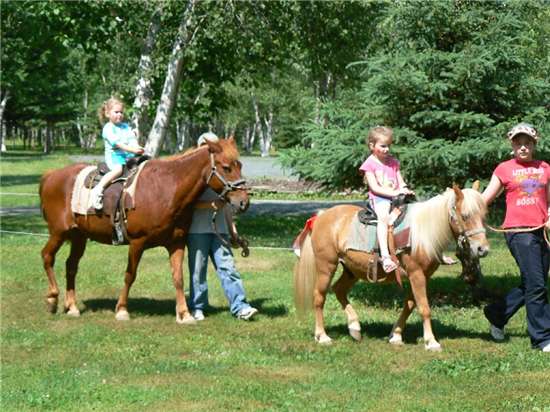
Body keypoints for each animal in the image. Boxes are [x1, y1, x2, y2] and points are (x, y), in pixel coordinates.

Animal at [41, 137, 250, 324]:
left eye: (240, 165)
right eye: (226, 167)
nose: (243, 202)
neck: (165, 189)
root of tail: (50, 175)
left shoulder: (177, 242)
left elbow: (178, 278)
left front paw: (184, 314)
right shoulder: (137, 242)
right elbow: (130, 275)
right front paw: (122, 310)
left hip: (79, 236)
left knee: (71, 266)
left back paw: (72, 306)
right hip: (58, 232)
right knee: (47, 256)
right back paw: (52, 298)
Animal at [296, 185, 490, 350]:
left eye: (484, 216)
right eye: (465, 216)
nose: (483, 249)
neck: (422, 234)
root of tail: (320, 217)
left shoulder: (422, 276)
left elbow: (410, 304)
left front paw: (396, 335)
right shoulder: (416, 274)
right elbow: (424, 307)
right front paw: (431, 342)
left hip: (352, 270)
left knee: (339, 290)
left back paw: (355, 328)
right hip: (326, 265)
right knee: (319, 296)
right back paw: (322, 336)